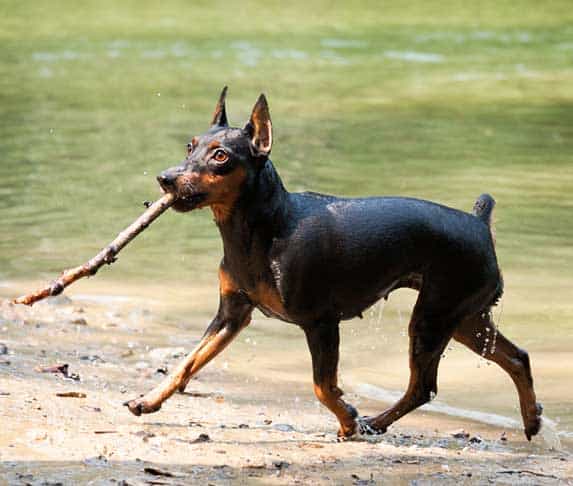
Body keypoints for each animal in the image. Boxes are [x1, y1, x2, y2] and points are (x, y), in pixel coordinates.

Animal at [124, 87, 540, 440]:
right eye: (189, 147)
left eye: (221, 155)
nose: (166, 179)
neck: (263, 229)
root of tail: (479, 223)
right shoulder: (232, 314)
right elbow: (188, 362)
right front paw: (148, 399)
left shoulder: (321, 322)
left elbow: (322, 386)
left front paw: (348, 420)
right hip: (465, 320)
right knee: (516, 357)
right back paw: (531, 419)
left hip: (434, 319)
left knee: (423, 387)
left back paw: (373, 422)